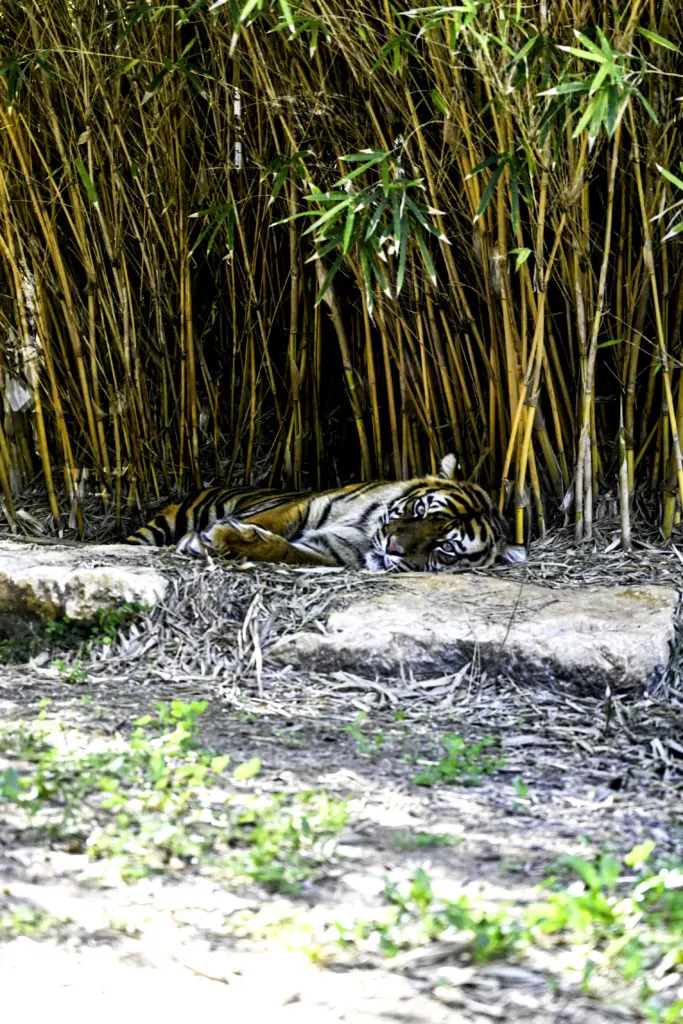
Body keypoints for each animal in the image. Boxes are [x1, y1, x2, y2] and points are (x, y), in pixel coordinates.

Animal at [125, 454, 528, 573]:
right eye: (419, 510)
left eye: (443, 548)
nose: (393, 548)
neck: (366, 531)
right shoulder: (305, 506)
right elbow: (268, 522)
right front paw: (212, 537)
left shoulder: (327, 551)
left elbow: (282, 549)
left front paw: (223, 540)